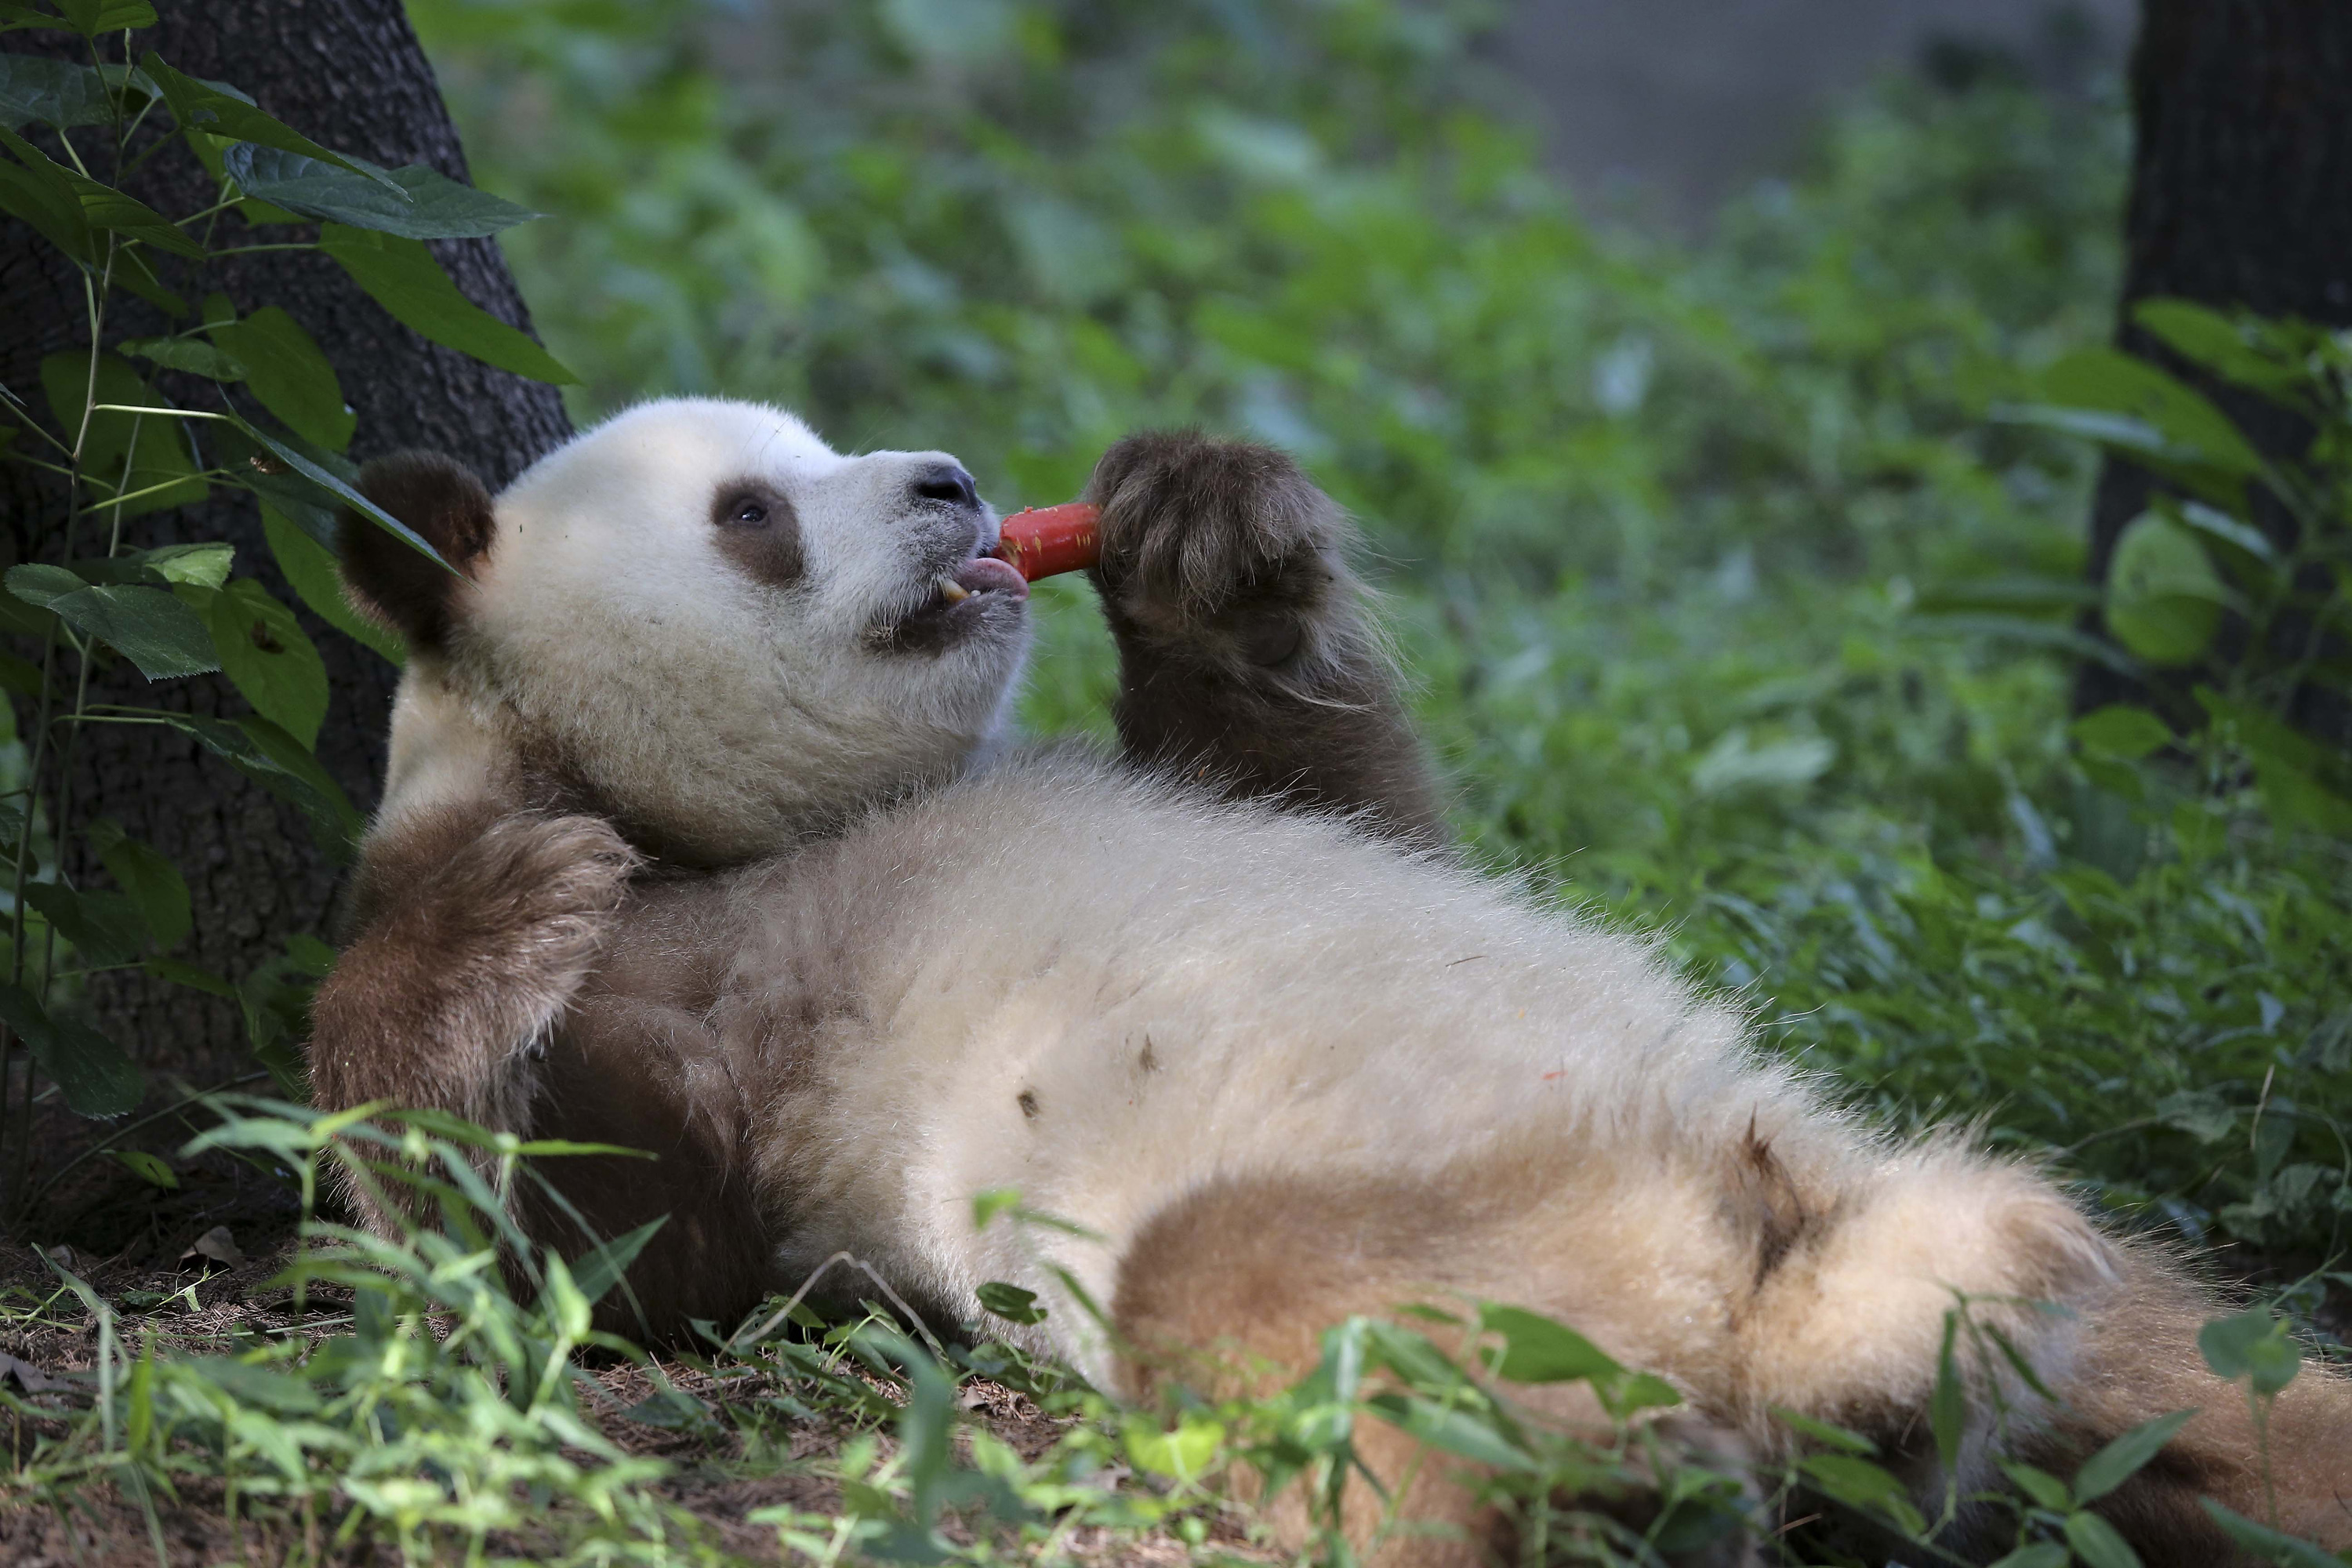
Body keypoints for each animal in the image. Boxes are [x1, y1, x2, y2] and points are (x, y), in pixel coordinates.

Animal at [303, 399, 2352, 1561]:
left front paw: (1200, 528)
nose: (955, 482)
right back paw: (1630, 1487)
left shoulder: (1254, 793)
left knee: (2241, 1400)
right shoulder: (713, 1030)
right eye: (752, 509)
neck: (754, 825)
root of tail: (1766, 1282)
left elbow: (1331, 786)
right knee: (1289, 1319)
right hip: (1366, 1232)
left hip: (1994, 1250)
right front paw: (513, 906)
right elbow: (571, 1242)